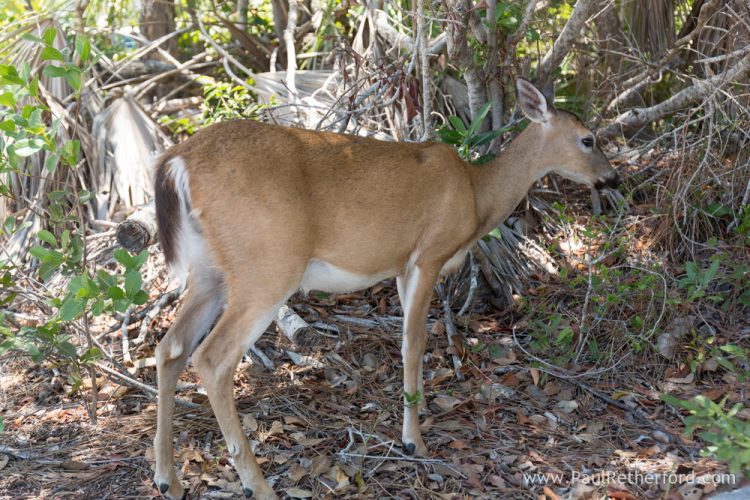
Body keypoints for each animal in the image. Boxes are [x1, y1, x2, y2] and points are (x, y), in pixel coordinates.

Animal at [151, 78, 620, 499]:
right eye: (588, 139)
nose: (612, 178)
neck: (476, 194)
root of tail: (177, 160)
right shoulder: (429, 254)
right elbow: (415, 341)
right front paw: (414, 439)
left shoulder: (399, 265)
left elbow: (408, 339)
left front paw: (421, 406)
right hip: (266, 265)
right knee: (212, 358)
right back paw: (257, 485)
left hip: (210, 269)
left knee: (170, 347)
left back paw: (167, 479)